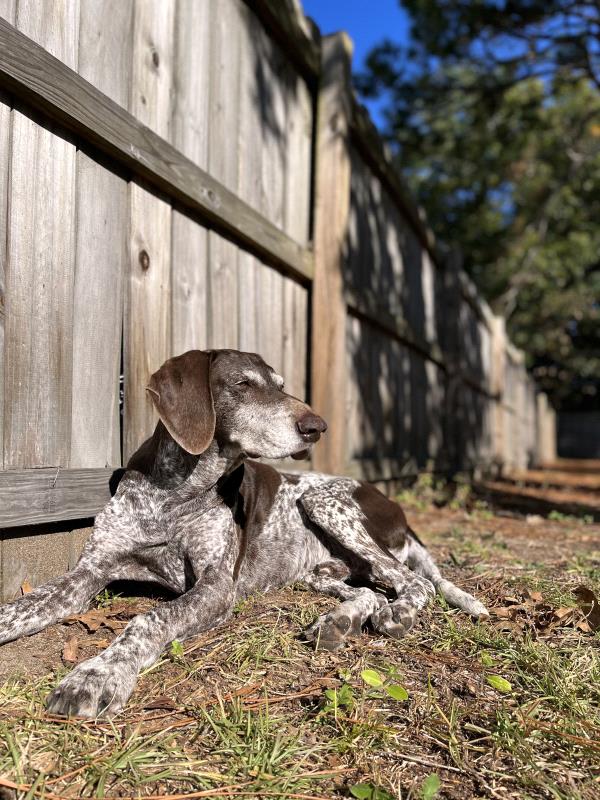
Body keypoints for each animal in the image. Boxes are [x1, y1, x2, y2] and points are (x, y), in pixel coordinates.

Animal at [0, 352, 488, 720]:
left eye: (280, 385)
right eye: (244, 384)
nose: (317, 426)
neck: (173, 496)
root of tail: (397, 509)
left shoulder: (216, 586)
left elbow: (147, 620)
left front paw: (97, 675)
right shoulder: (90, 571)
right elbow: (27, 604)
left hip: (326, 502)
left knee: (416, 583)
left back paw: (397, 614)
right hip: (320, 570)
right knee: (370, 591)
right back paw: (338, 623)